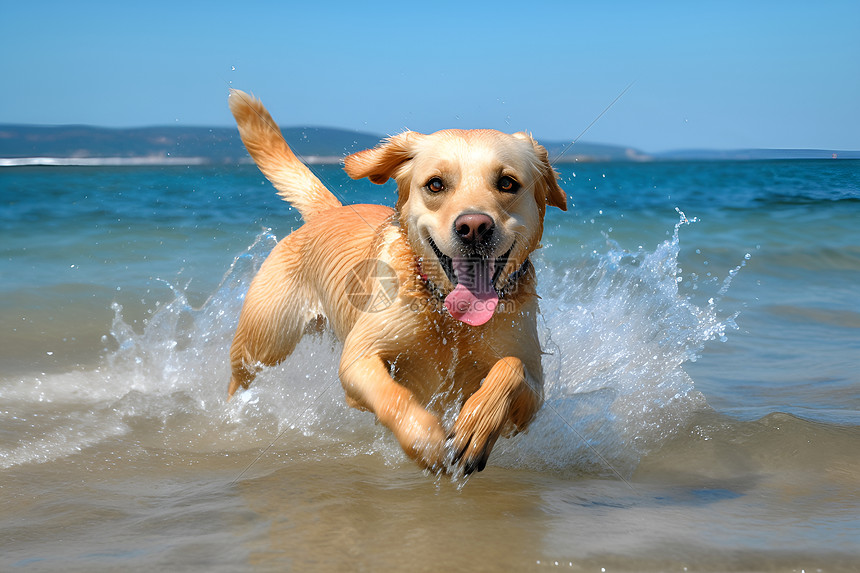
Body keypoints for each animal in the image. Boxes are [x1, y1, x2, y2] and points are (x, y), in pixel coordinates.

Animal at [225, 89, 568, 474]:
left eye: (507, 182)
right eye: (435, 184)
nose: (474, 227)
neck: (447, 315)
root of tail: (329, 212)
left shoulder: (533, 389)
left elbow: (511, 370)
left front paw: (474, 428)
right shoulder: (359, 357)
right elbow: (391, 395)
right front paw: (425, 439)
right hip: (264, 340)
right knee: (239, 376)